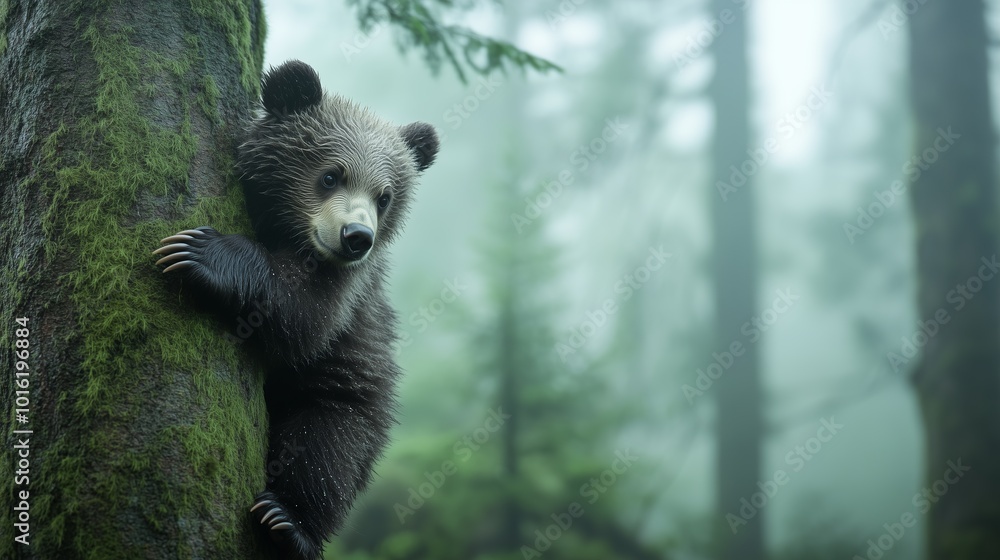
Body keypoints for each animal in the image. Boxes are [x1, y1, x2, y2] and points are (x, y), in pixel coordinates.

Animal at [153, 60, 439, 559]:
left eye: (384, 196)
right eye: (331, 175)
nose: (356, 237)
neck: (287, 231)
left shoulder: (349, 291)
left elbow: (304, 319)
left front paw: (199, 251)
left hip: (351, 393)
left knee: (328, 450)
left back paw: (288, 521)